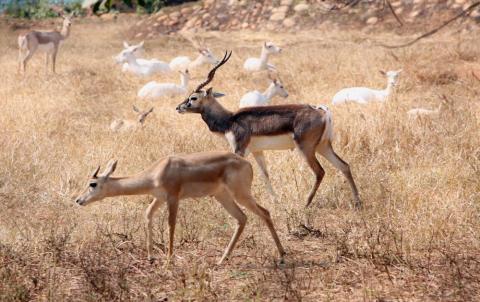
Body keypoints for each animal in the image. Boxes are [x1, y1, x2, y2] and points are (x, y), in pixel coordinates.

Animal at [176, 51, 360, 208]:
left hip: (306, 148)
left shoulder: (239, 149)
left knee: (320, 172)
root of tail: (322, 110)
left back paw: (306, 203)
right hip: (323, 146)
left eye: (193, 97)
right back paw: (357, 203)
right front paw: (275, 201)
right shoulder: (257, 151)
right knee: (344, 166)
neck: (230, 120)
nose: (178, 107)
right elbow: (265, 174)